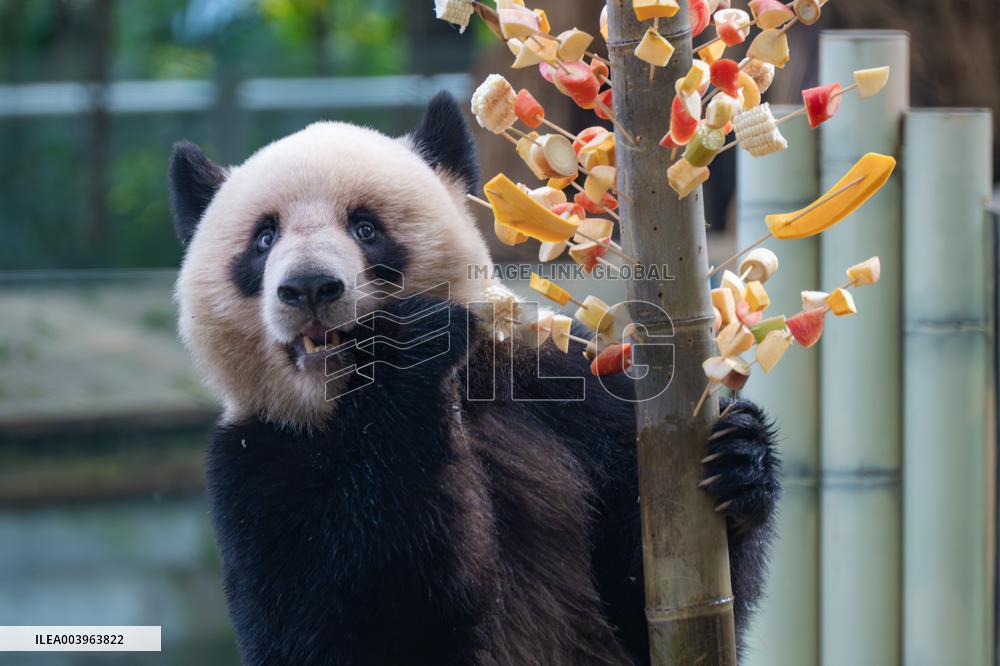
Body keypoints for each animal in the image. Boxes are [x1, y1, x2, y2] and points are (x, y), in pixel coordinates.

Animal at [169, 91, 780, 666]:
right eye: (264, 239)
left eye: (365, 227)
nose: (310, 287)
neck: (346, 405)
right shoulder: (254, 465)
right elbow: (345, 622)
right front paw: (410, 355)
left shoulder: (558, 389)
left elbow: (647, 604)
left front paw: (741, 456)